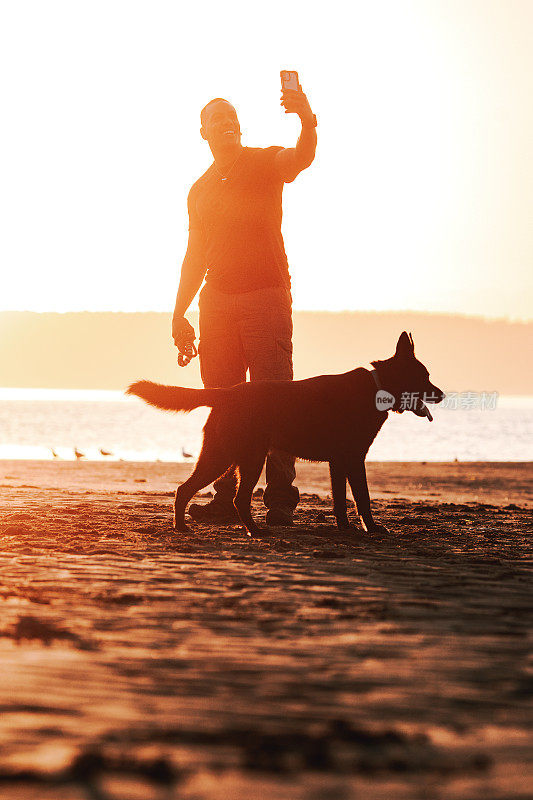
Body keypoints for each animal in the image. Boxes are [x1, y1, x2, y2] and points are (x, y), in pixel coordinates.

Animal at [127, 332, 442, 536]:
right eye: (424, 377)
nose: (441, 394)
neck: (377, 387)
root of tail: (227, 393)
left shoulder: (338, 463)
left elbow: (340, 502)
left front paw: (345, 529)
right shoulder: (354, 460)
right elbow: (362, 499)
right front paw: (374, 529)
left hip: (233, 459)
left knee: (210, 494)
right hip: (235, 459)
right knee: (211, 494)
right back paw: (239, 531)